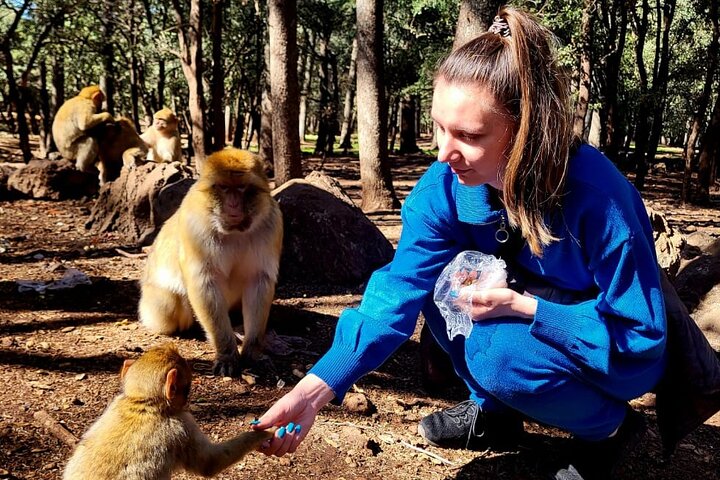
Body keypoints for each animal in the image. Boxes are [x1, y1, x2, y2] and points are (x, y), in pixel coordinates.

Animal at [63, 343, 274, 480]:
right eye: (186, 388)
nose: (186, 399)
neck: (144, 405)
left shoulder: (116, 402)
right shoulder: (182, 425)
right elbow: (210, 463)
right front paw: (264, 433)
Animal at [138, 148, 283, 377]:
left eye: (241, 187)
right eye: (223, 187)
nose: (233, 204)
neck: (234, 232)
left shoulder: (272, 223)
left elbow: (258, 281)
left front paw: (252, 351)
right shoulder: (194, 226)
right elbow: (204, 283)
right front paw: (226, 353)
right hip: (155, 306)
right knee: (175, 303)